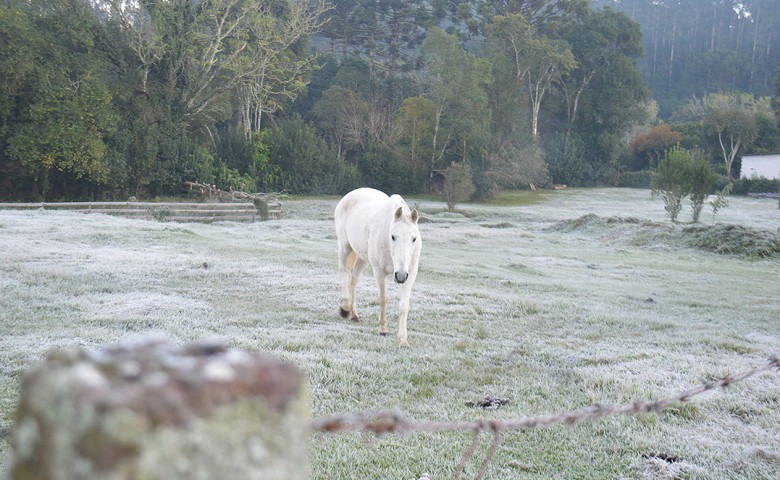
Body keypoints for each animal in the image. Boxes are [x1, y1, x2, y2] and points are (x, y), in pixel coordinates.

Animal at [334, 186, 420, 346]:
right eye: (393, 236)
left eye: (414, 239)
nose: (400, 276)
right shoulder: (379, 272)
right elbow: (383, 299)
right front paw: (383, 329)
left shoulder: (410, 274)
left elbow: (404, 306)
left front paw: (403, 340)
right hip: (345, 247)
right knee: (345, 272)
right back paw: (345, 308)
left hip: (362, 257)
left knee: (354, 279)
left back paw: (353, 314)